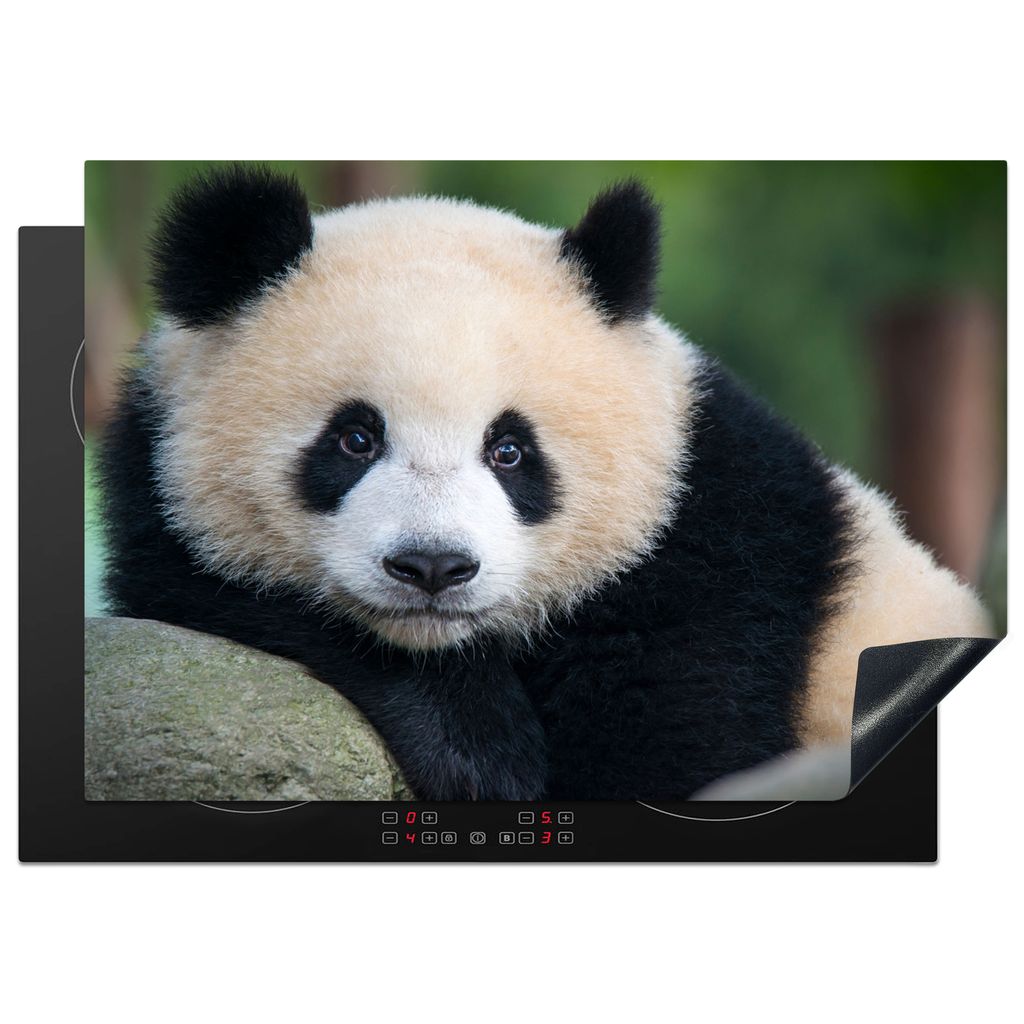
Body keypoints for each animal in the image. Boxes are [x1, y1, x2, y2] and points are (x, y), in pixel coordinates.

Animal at [99, 164, 994, 801]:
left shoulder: (715, 560)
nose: (433, 568)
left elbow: (665, 755)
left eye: (510, 451)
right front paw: (477, 746)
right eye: (354, 439)